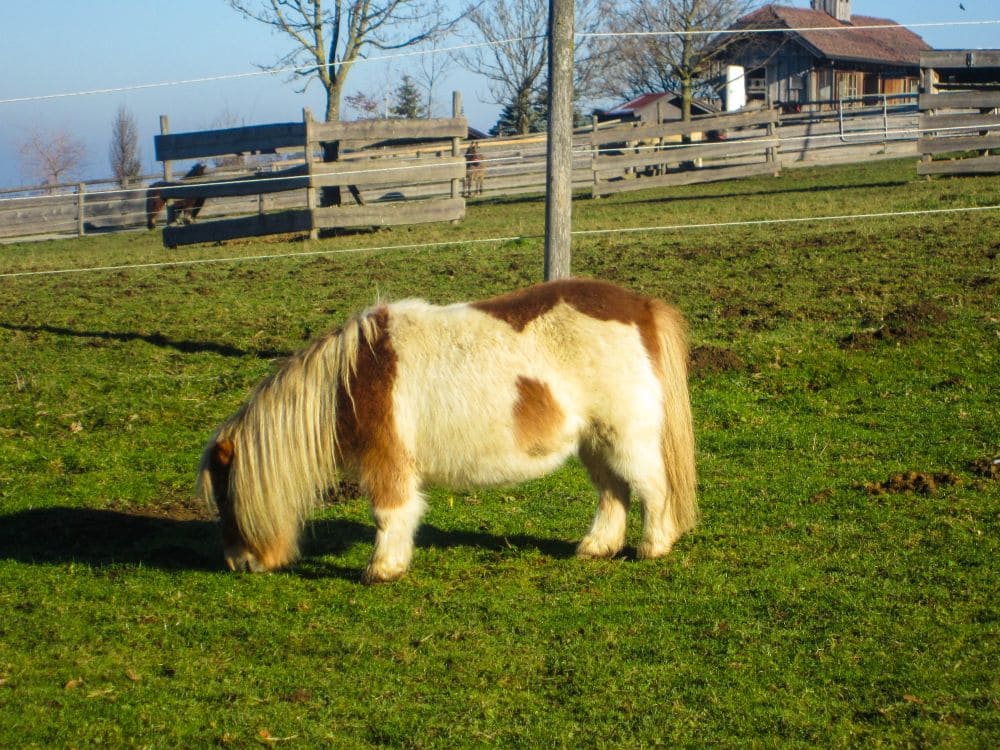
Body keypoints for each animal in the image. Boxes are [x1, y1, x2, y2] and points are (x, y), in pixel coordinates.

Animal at [196, 278, 697, 583]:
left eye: (226, 498)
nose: (237, 563)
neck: (352, 382)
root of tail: (642, 307)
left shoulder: (386, 461)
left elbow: (390, 514)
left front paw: (382, 569)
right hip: (595, 443)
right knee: (614, 492)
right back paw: (596, 547)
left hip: (625, 438)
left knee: (653, 488)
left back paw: (653, 547)